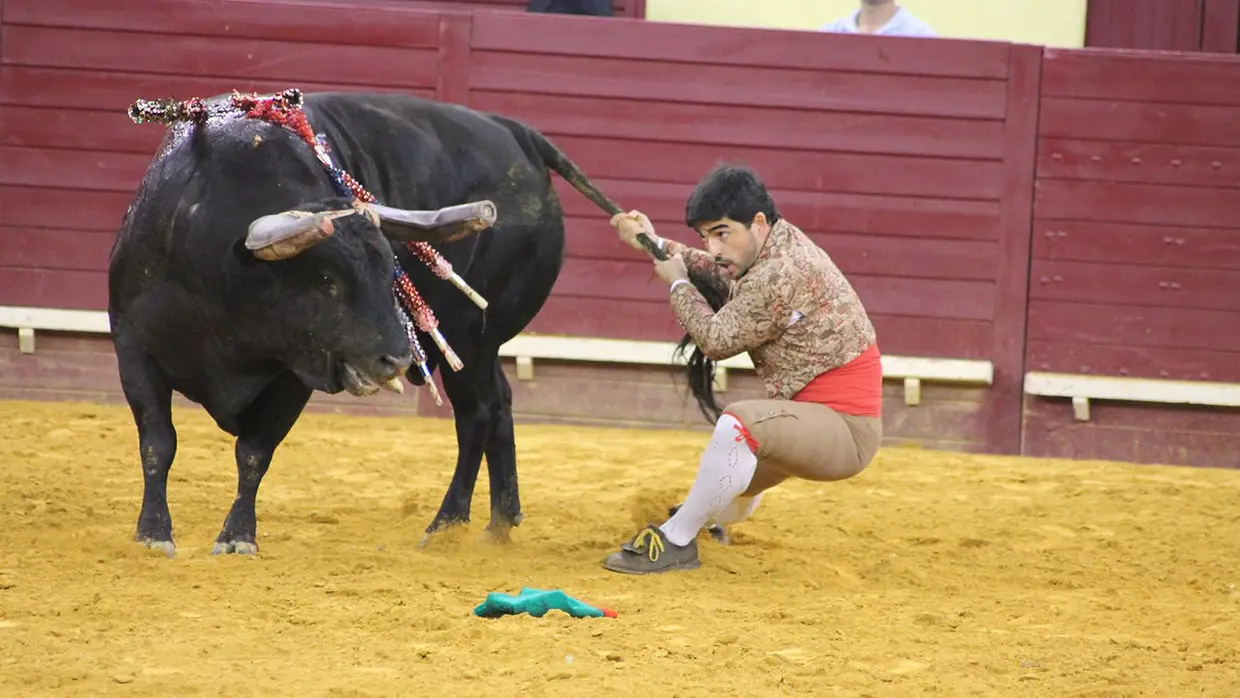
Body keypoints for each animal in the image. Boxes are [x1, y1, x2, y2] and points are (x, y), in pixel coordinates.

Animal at [111, 88, 724, 557]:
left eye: (391, 270)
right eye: (326, 279)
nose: (397, 358)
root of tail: (517, 133)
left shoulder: (297, 372)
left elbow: (253, 452)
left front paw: (237, 537)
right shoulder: (133, 351)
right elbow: (158, 443)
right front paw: (153, 534)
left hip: (469, 336)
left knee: (477, 412)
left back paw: (447, 524)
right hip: (477, 342)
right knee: (499, 403)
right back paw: (499, 524)